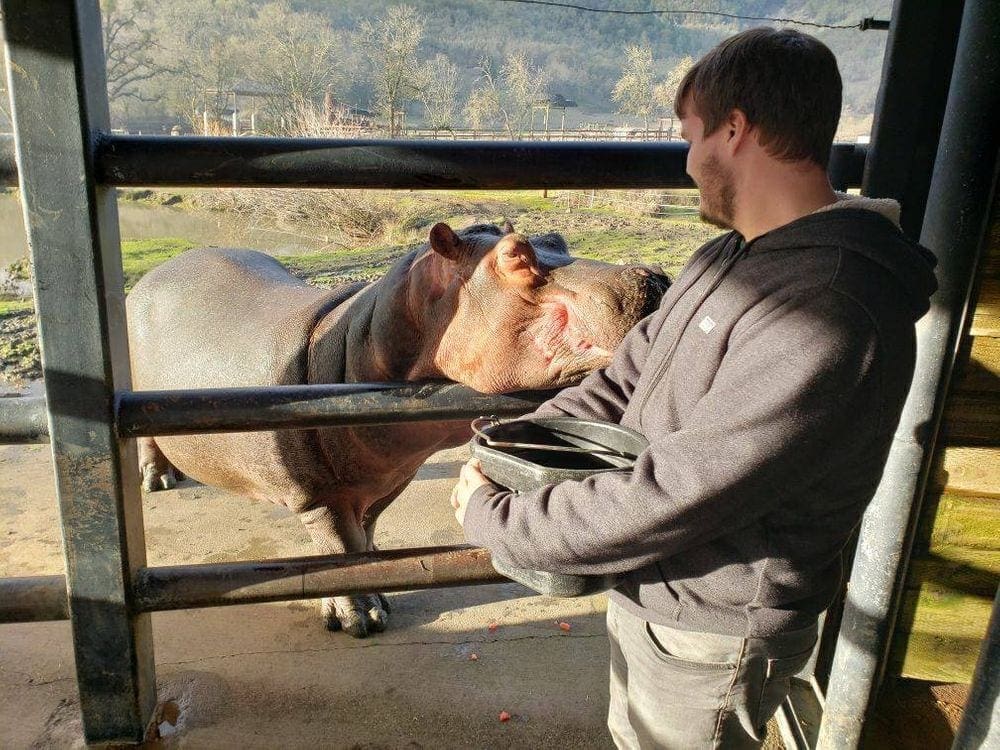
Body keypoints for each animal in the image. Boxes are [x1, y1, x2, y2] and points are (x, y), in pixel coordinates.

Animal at [127, 220, 672, 636]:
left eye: (556, 236)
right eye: (516, 256)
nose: (652, 275)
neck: (352, 341)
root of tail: (156, 271)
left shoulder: (384, 481)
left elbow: (364, 536)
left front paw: (383, 582)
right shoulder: (318, 498)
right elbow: (340, 551)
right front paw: (361, 619)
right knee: (146, 435)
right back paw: (158, 480)